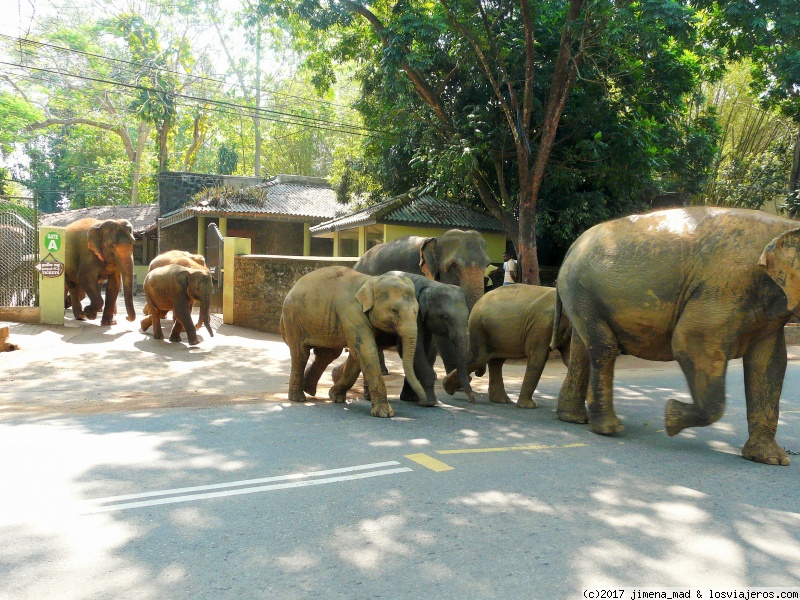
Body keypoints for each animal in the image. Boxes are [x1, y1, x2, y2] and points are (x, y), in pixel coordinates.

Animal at [282, 268, 432, 418]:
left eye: (416, 311)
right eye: (394, 310)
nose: (425, 403)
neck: (371, 281)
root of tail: (293, 288)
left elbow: (358, 356)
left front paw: (336, 396)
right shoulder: (351, 313)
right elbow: (366, 351)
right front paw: (384, 413)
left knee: (328, 354)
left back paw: (308, 389)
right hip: (293, 320)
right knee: (301, 354)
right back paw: (298, 398)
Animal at [304, 274, 472, 406]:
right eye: (446, 318)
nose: (473, 400)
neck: (432, 284)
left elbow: (428, 351)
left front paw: (412, 398)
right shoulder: (414, 319)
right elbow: (414, 352)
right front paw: (430, 402)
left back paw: (334, 376)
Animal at [552, 209, 800, 466]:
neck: (786, 225)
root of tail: (572, 247)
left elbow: (768, 364)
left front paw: (771, 459)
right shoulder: (729, 286)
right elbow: (689, 341)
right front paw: (670, 417)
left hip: (581, 295)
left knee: (582, 350)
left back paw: (573, 418)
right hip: (581, 290)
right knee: (604, 348)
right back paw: (608, 429)